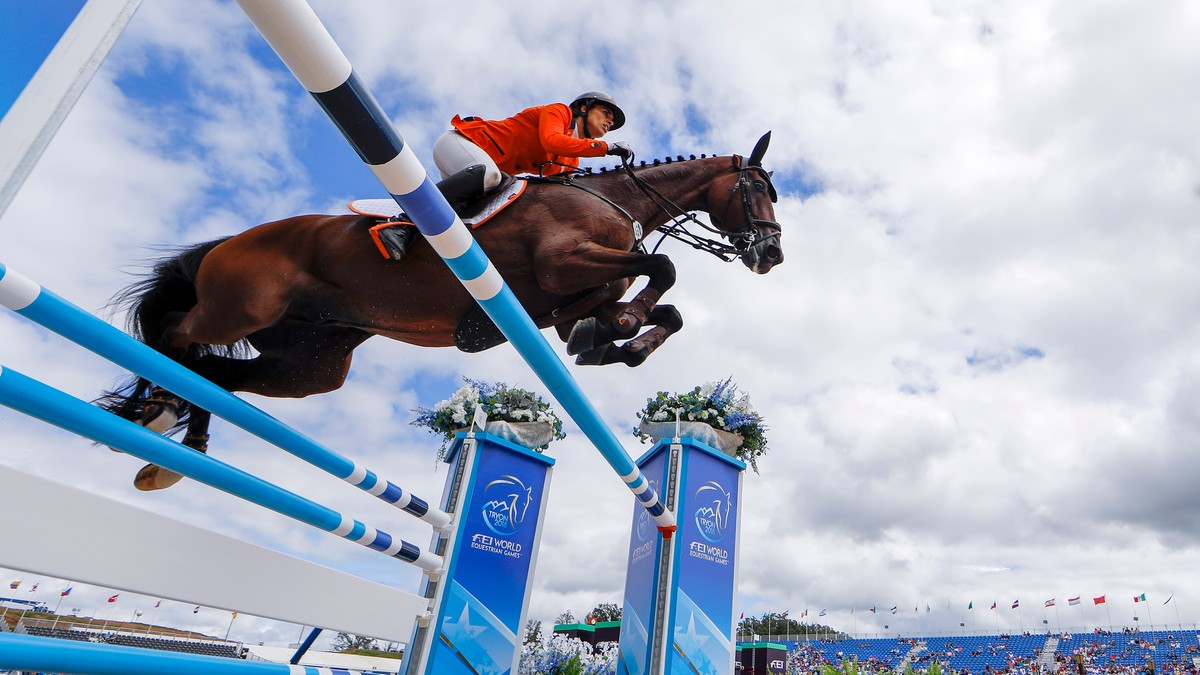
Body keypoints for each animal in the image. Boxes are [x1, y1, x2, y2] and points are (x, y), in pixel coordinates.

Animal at [98, 132, 782, 487]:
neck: (613, 200)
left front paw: (617, 337)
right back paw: (152, 409)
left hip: (310, 363)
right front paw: (623, 327)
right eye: (758, 188)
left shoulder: (564, 301)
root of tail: (229, 241)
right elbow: (662, 270)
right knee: (176, 334)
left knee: (218, 373)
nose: (771, 254)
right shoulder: (563, 263)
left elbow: (656, 311)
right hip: (239, 307)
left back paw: (178, 435)